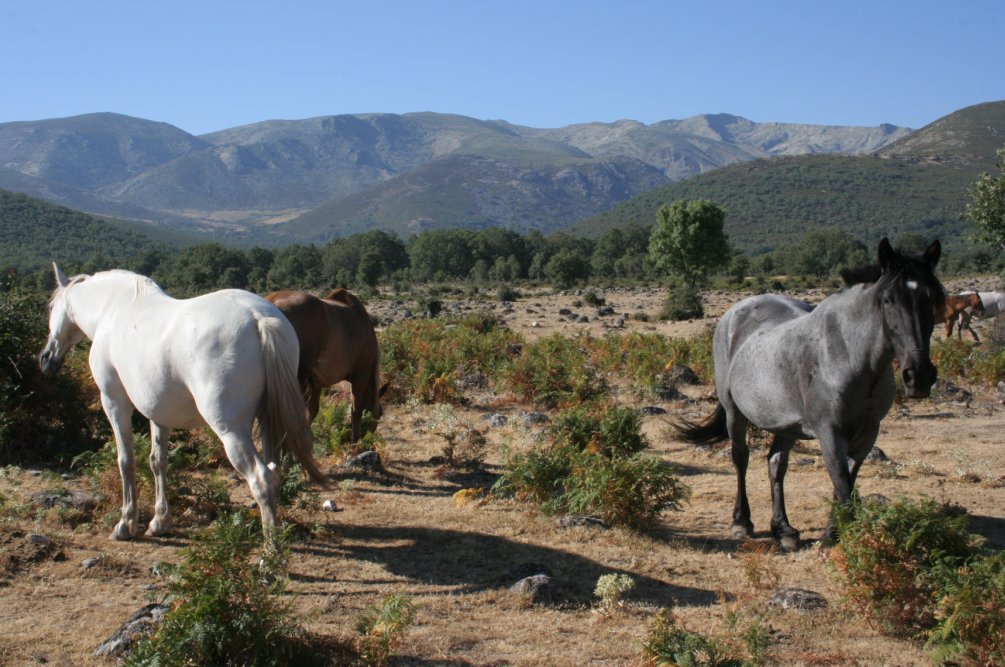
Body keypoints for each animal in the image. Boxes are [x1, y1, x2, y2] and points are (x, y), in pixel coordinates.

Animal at [36, 263, 321, 538]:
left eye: (50, 307)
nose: (46, 359)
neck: (113, 308)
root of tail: (258, 318)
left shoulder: (114, 402)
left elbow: (126, 460)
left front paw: (126, 524)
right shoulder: (158, 411)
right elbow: (158, 460)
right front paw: (160, 522)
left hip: (230, 429)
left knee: (261, 479)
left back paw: (271, 551)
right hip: (268, 421)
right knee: (274, 472)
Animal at [265, 287, 381, 439]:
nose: (369, 435)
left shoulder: (315, 383)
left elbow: (313, 410)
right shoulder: (361, 373)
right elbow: (356, 408)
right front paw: (355, 438)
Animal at [675, 237, 940, 550]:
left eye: (933, 298)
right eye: (888, 300)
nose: (919, 375)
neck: (849, 356)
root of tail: (735, 312)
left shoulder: (868, 433)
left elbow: (848, 478)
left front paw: (835, 529)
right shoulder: (829, 431)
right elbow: (841, 480)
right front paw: (837, 535)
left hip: (786, 425)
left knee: (776, 464)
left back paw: (783, 529)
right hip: (734, 413)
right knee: (741, 458)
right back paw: (742, 521)